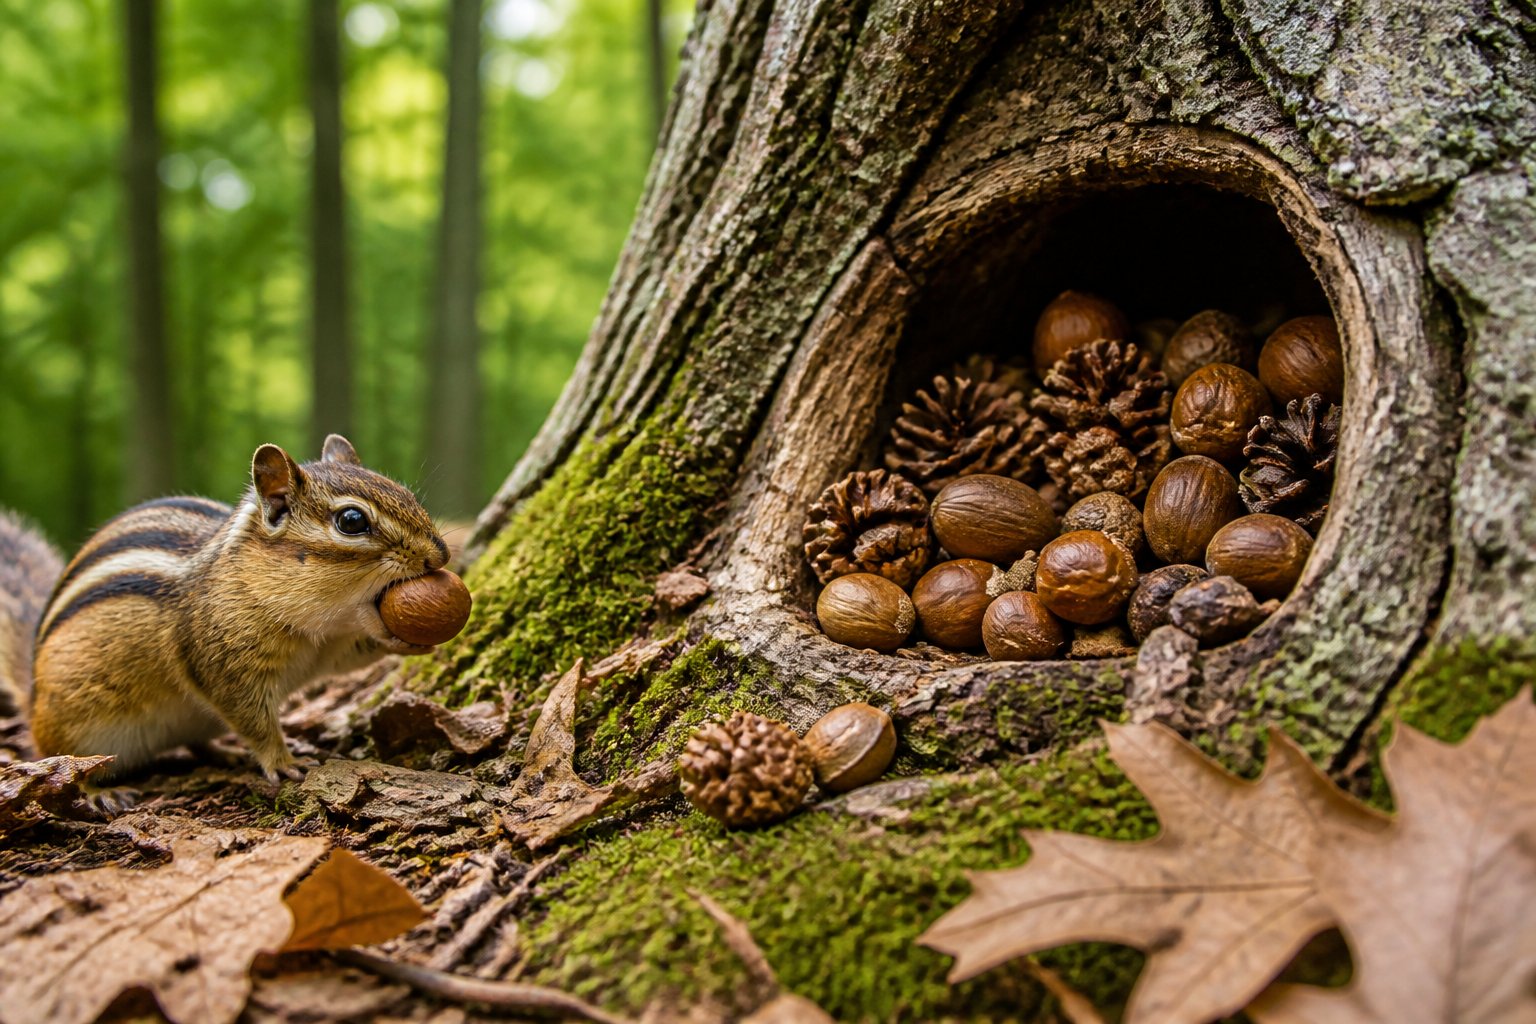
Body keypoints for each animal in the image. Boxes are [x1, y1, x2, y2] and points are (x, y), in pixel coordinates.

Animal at [0, 434, 448, 782]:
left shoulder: (328, 650)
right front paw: (282, 761)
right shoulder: (220, 660)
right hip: (73, 730)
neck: (316, 625)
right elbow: (252, 717)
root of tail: (33, 695)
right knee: (61, 757)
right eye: (352, 521)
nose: (440, 555)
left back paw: (224, 752)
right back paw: (96, 792)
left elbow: (350, 659)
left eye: (407, 495)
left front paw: (407, 643)